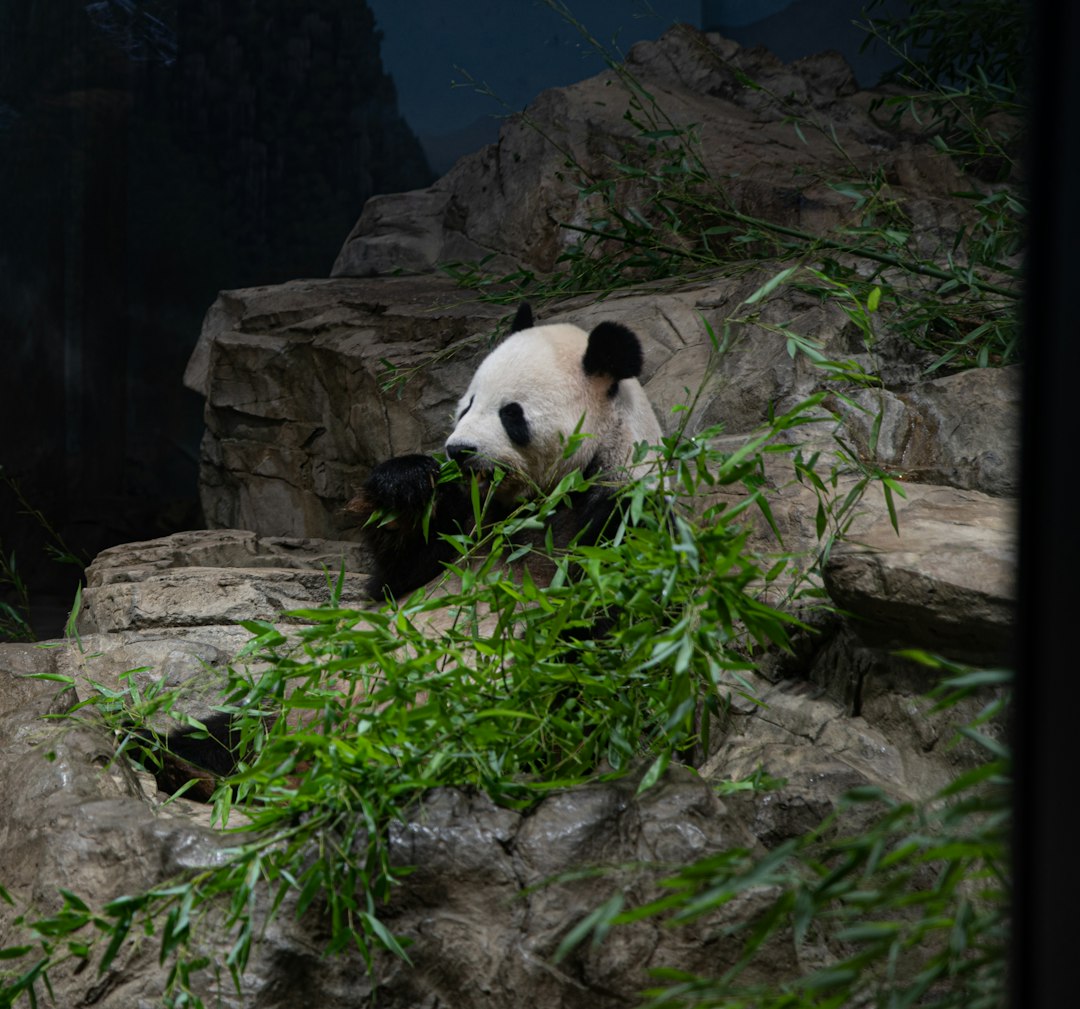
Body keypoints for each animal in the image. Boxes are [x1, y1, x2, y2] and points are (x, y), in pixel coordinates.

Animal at [349, 304, 660, 604]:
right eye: (468, 405)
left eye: (511, 414)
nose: (458, 450)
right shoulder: (471, 518)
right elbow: (399, 573)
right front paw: (406, 484)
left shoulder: (624, 509)